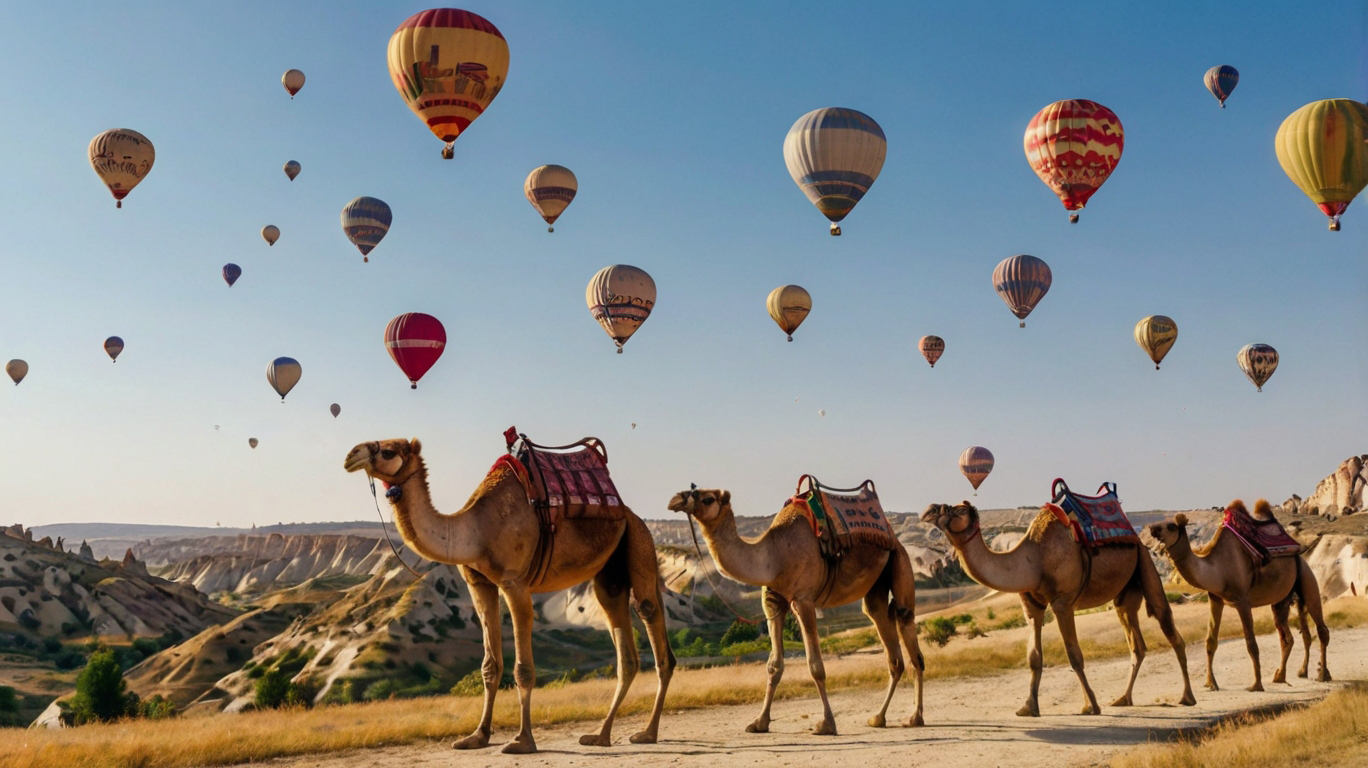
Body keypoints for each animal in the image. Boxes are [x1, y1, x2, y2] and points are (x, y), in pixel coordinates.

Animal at [344, 438, 675, 755]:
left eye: (387, 451)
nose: (350, 456)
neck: (475, 529)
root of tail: (632, 515)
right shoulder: (478, 584)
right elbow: (490, 666)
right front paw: (477, 736)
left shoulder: (515, 583)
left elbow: (523, 669)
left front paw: (523, 741)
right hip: (609, 573)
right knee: (624, 646)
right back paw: (600, 736)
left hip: (638, 540)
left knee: (650, 619)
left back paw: (647, 733)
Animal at [664, 487, 924, 733]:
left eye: (707, 498)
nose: (675, 499)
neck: (775, 554)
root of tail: (893, 536)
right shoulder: (772, 601)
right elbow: (773, 666)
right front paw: (759, 722)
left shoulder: (803, 600)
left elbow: (815, 665)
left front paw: (826, 724)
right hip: (876, 586)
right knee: (887, 641)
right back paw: (878, 718)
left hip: (899, 559)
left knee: (909, 634)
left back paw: (915, 718)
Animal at [919, 501, 1198, 717]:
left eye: (956, 509)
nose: (927, 511)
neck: (1033, 559)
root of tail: (1136, 537)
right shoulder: (1031, 606)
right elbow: (1034, 657)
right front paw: (1029, 707)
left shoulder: (1063, 603)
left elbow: (1074, 656)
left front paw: (1091, 706)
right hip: (1125, 594)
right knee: (1136, 644)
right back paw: (1123, 699)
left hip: (1145, 562)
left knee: (1170, 628)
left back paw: (1187, 697)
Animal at [1149, 501, 1329, 692]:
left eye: (1171, 526)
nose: (1152, 528)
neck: (1217, 568)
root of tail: (1298, 551)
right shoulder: (1215, 598)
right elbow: (1210, 641)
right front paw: (1211, 683)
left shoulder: (1243, 601)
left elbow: (1251, 644)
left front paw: (1256, 685)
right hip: (1282, 599)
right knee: (1287, 637)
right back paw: (1284, 675)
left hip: (1306, 577)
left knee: (1321, 628)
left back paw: (1322, 674)